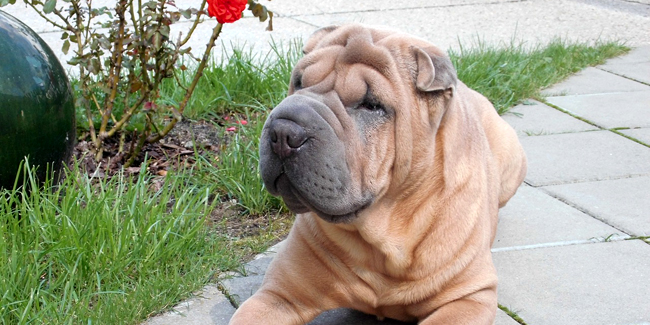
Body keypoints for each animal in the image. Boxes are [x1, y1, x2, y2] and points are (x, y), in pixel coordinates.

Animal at [228, 24, 528, 322]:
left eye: (371, 105)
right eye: (299, 82)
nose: (283, 132)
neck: (381, 235)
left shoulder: (469, 297)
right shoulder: (278, 294)